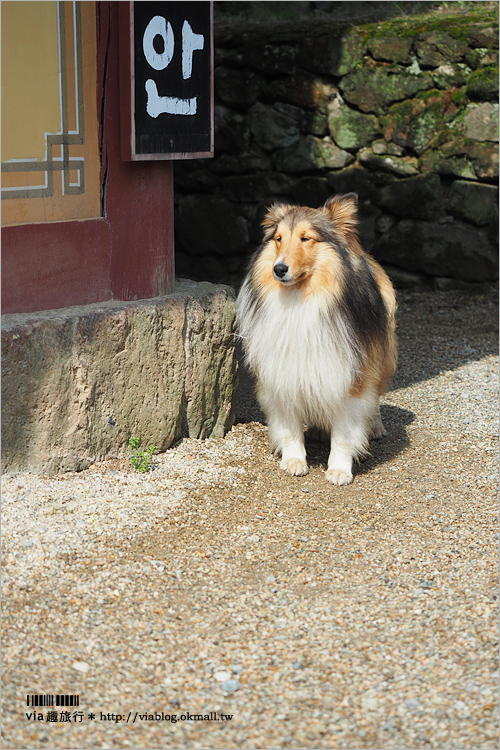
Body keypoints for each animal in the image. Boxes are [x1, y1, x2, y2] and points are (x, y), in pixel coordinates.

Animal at [235, 194, 398, 488]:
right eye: (278, 238)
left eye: (306, 238)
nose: (279, 269)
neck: (301, 299)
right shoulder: (282, 373)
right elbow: (290, 426)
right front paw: (294, 461)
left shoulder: (350, 374)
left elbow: (345, 431)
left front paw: (339, 469)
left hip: (382, 355)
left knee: (376, 396)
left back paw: (375, 427)